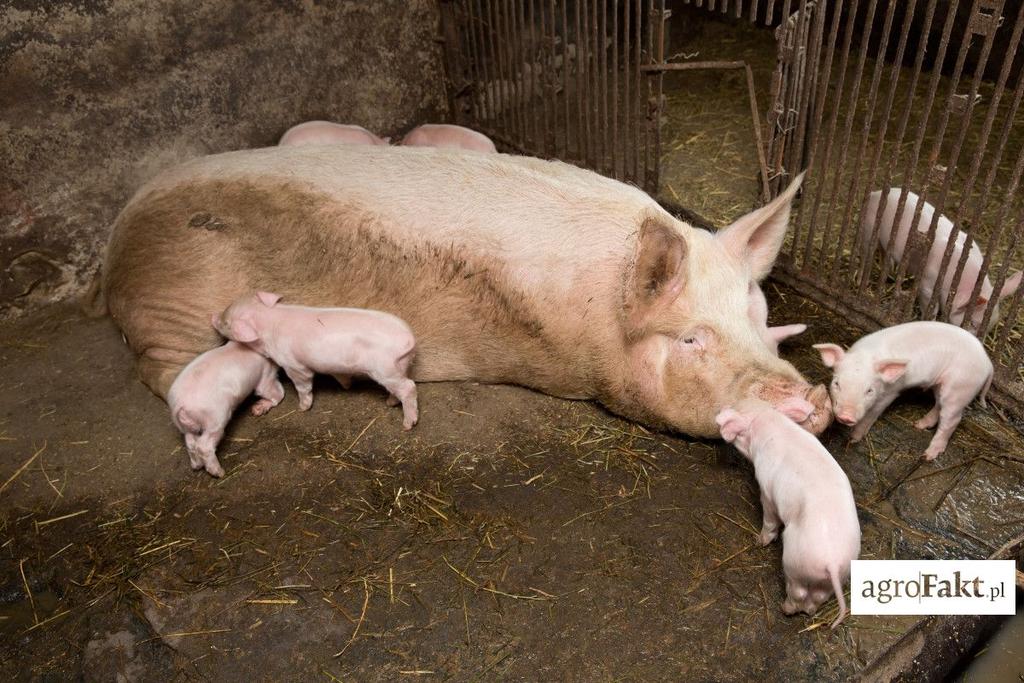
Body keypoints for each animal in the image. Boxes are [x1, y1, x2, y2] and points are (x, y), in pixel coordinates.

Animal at [165, 339, 284, 479]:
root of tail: (180, 404)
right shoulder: (266, 375)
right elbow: (276, 393)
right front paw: (256, 410)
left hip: (186, 427)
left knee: (190, 442)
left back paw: (196, 466)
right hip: (215, 419)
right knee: (204, 446)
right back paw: (220, 473)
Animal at [209, 290, 417, 430]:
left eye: (226, 322)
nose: (213, 316)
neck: (268, 322)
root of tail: (409, 337)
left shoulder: (294, 366)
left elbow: (303, 386)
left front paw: (302, 408)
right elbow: (339, 375)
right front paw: (347, 385)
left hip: (385, 369)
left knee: (409, 387)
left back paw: (407, 424)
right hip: (400, 367)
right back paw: (390, 403)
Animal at [716, 401, 860, 630]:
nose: (722, 409)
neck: (773, 425)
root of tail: (831, 562)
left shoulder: (766, 489)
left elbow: (769, 519)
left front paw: (758, 540)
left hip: (794, 564)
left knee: (798, 592)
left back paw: (784, 609)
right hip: (838, 573)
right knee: (818, 597)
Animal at [860, 189, 1019, 333]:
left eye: (988, 328)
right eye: (973, 323)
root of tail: (876, 193)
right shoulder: (927, 282)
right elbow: (931, 306)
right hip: (868, 226)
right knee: (867, 251)